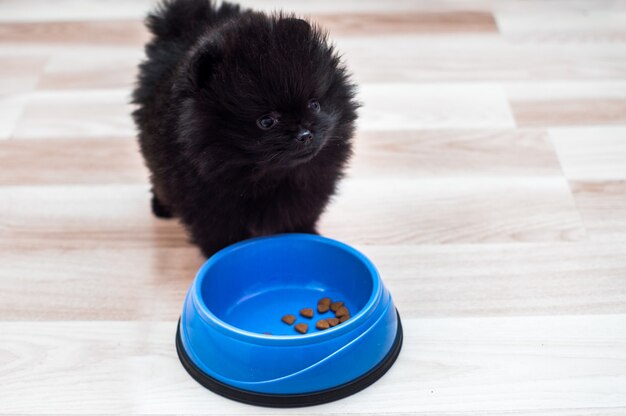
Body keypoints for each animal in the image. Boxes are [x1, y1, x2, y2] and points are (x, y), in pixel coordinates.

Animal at [132, 0, 356, 256]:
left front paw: (305, 234)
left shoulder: (308, 188)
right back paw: (161, 206)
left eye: (314, 104)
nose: (305, 134)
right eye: (266, 121)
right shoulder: (207, 205)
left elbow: (298, 215)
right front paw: (221, 253)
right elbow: (219, 233)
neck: (268, 174)